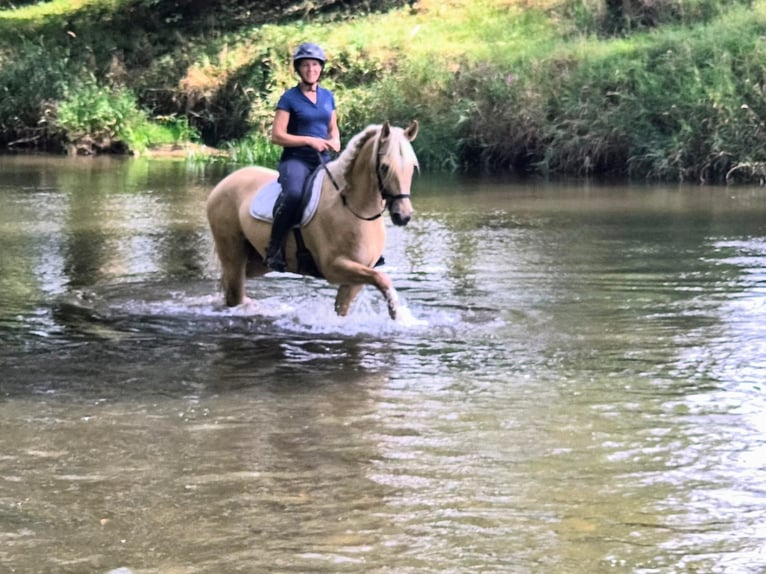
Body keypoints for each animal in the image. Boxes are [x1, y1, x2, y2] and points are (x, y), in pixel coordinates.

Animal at [206, 120, 419, 320]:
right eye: (384, 167)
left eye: (412, 167)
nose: (403, 216)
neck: (353, 207)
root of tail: (224, 183)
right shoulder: (334, 267)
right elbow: (382, 278)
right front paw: (397, 314)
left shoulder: (355, 277)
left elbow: (344, 307)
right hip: (233, 253)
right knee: (234, 294)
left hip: (257, 261)